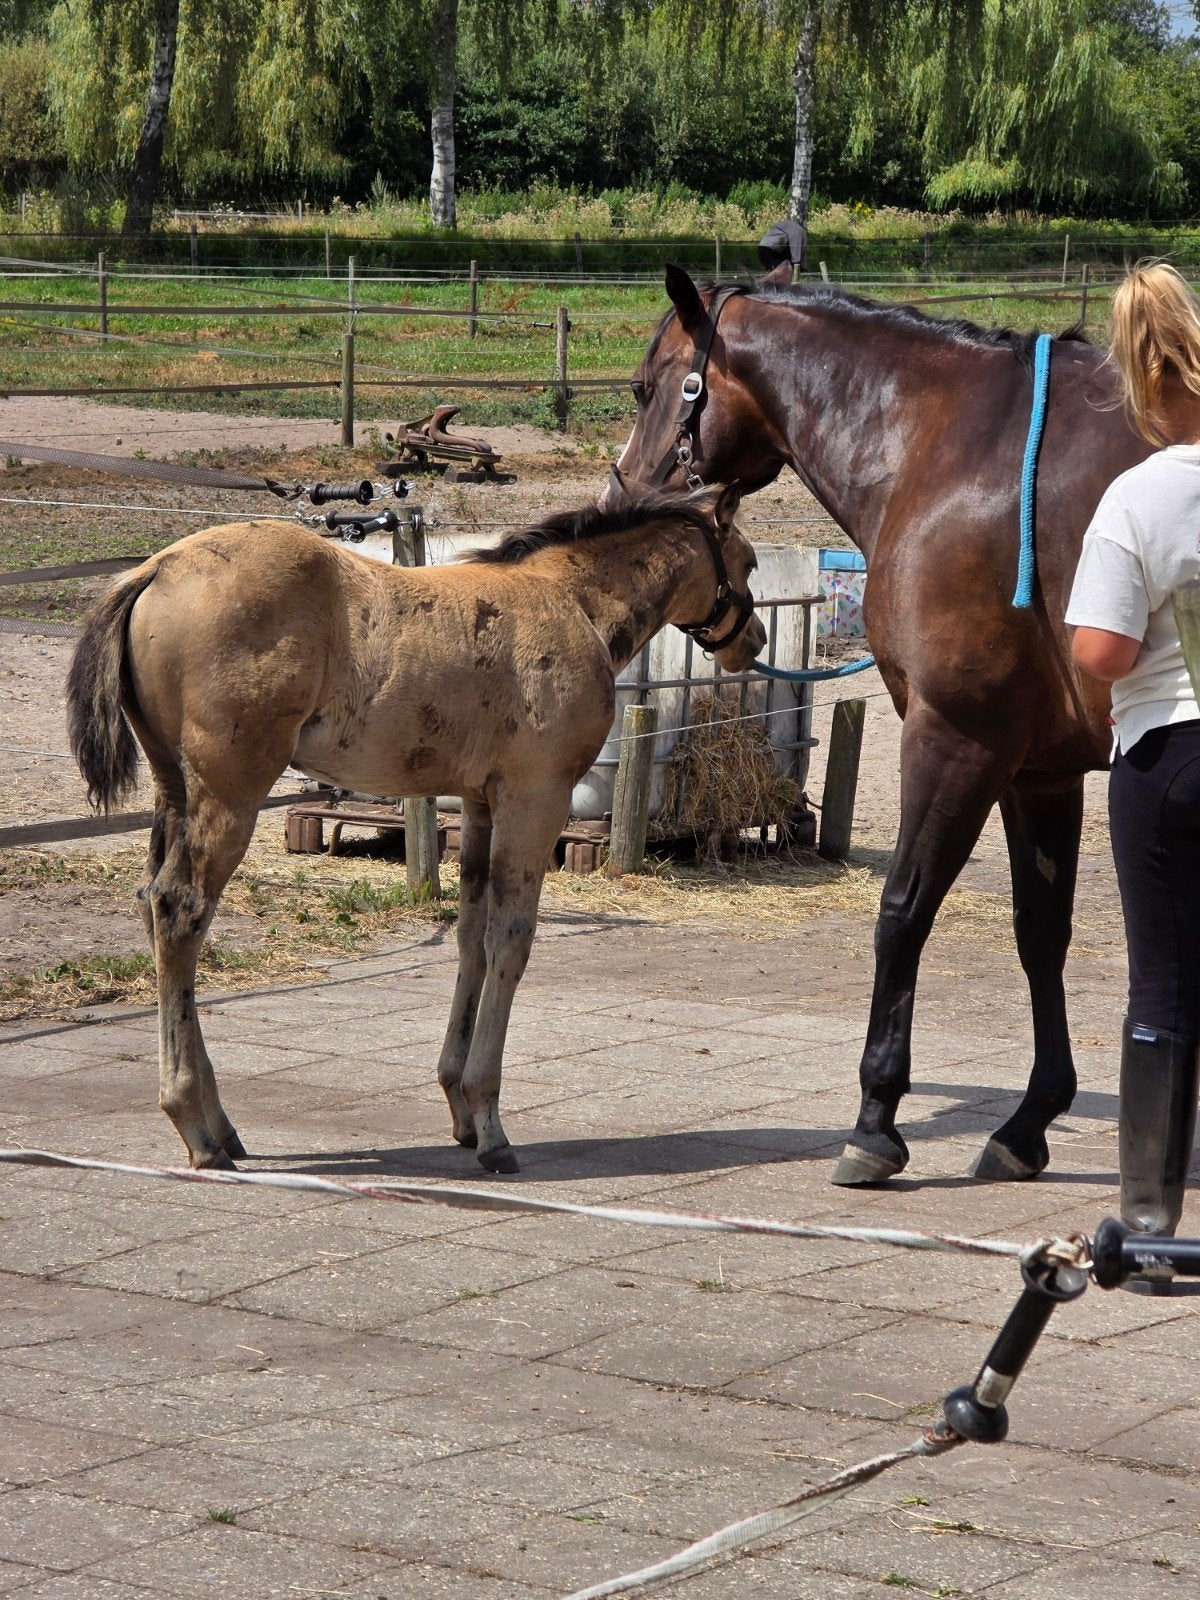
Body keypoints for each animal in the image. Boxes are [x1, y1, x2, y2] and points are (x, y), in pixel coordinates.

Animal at [66, 487, 765, 1176]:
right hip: (232, 790)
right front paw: (491, 1126)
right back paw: (197, 1127)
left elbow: (471, 936)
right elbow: (512, 940)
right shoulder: (536, 797)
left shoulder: (479, 803)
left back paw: (221, 1125)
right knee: (180, 908)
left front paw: (459, 1105)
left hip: (174, 788)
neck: (574, 603)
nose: (754, 640)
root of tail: (156, 569)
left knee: (152, 904)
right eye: (750, 563)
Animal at [609, 264, 1153, 1188]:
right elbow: (1040, 932)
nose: (622, 504)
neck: (957, 450)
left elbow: (903, 911)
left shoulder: (959, 740)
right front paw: (1029, 1123)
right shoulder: (1039, 768)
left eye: (648, 387)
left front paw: (876, 1118)